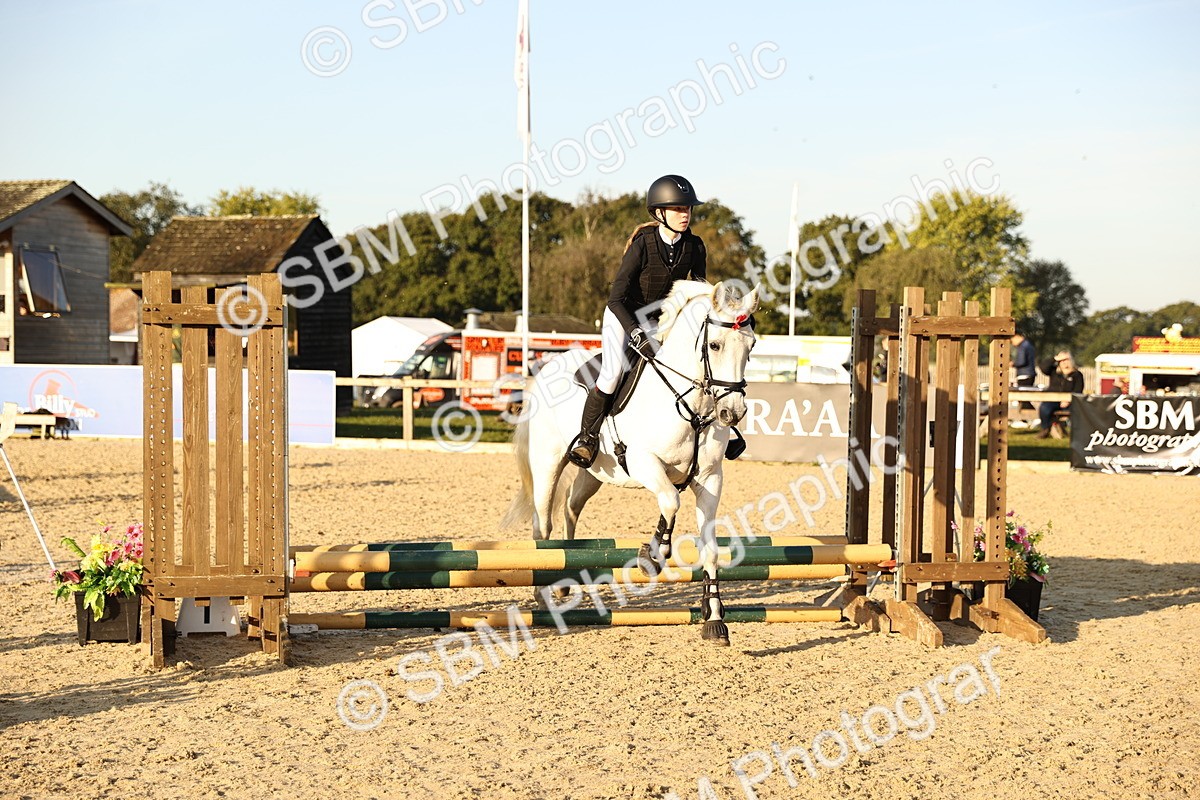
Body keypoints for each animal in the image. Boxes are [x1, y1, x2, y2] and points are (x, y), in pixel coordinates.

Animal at [501, 280, 759, 645]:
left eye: (751, 346)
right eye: (715, 344)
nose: (732, 413)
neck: (691, 404)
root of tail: (545, 370)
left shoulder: (710, 479)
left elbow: (707, 546)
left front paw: (713, 618)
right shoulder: (643, 463)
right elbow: (671, 500)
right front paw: (653, 557)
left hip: (593, 473)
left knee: (570, 508)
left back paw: (564, 584)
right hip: (547, 463)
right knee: (543, 524)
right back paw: (543, 594)